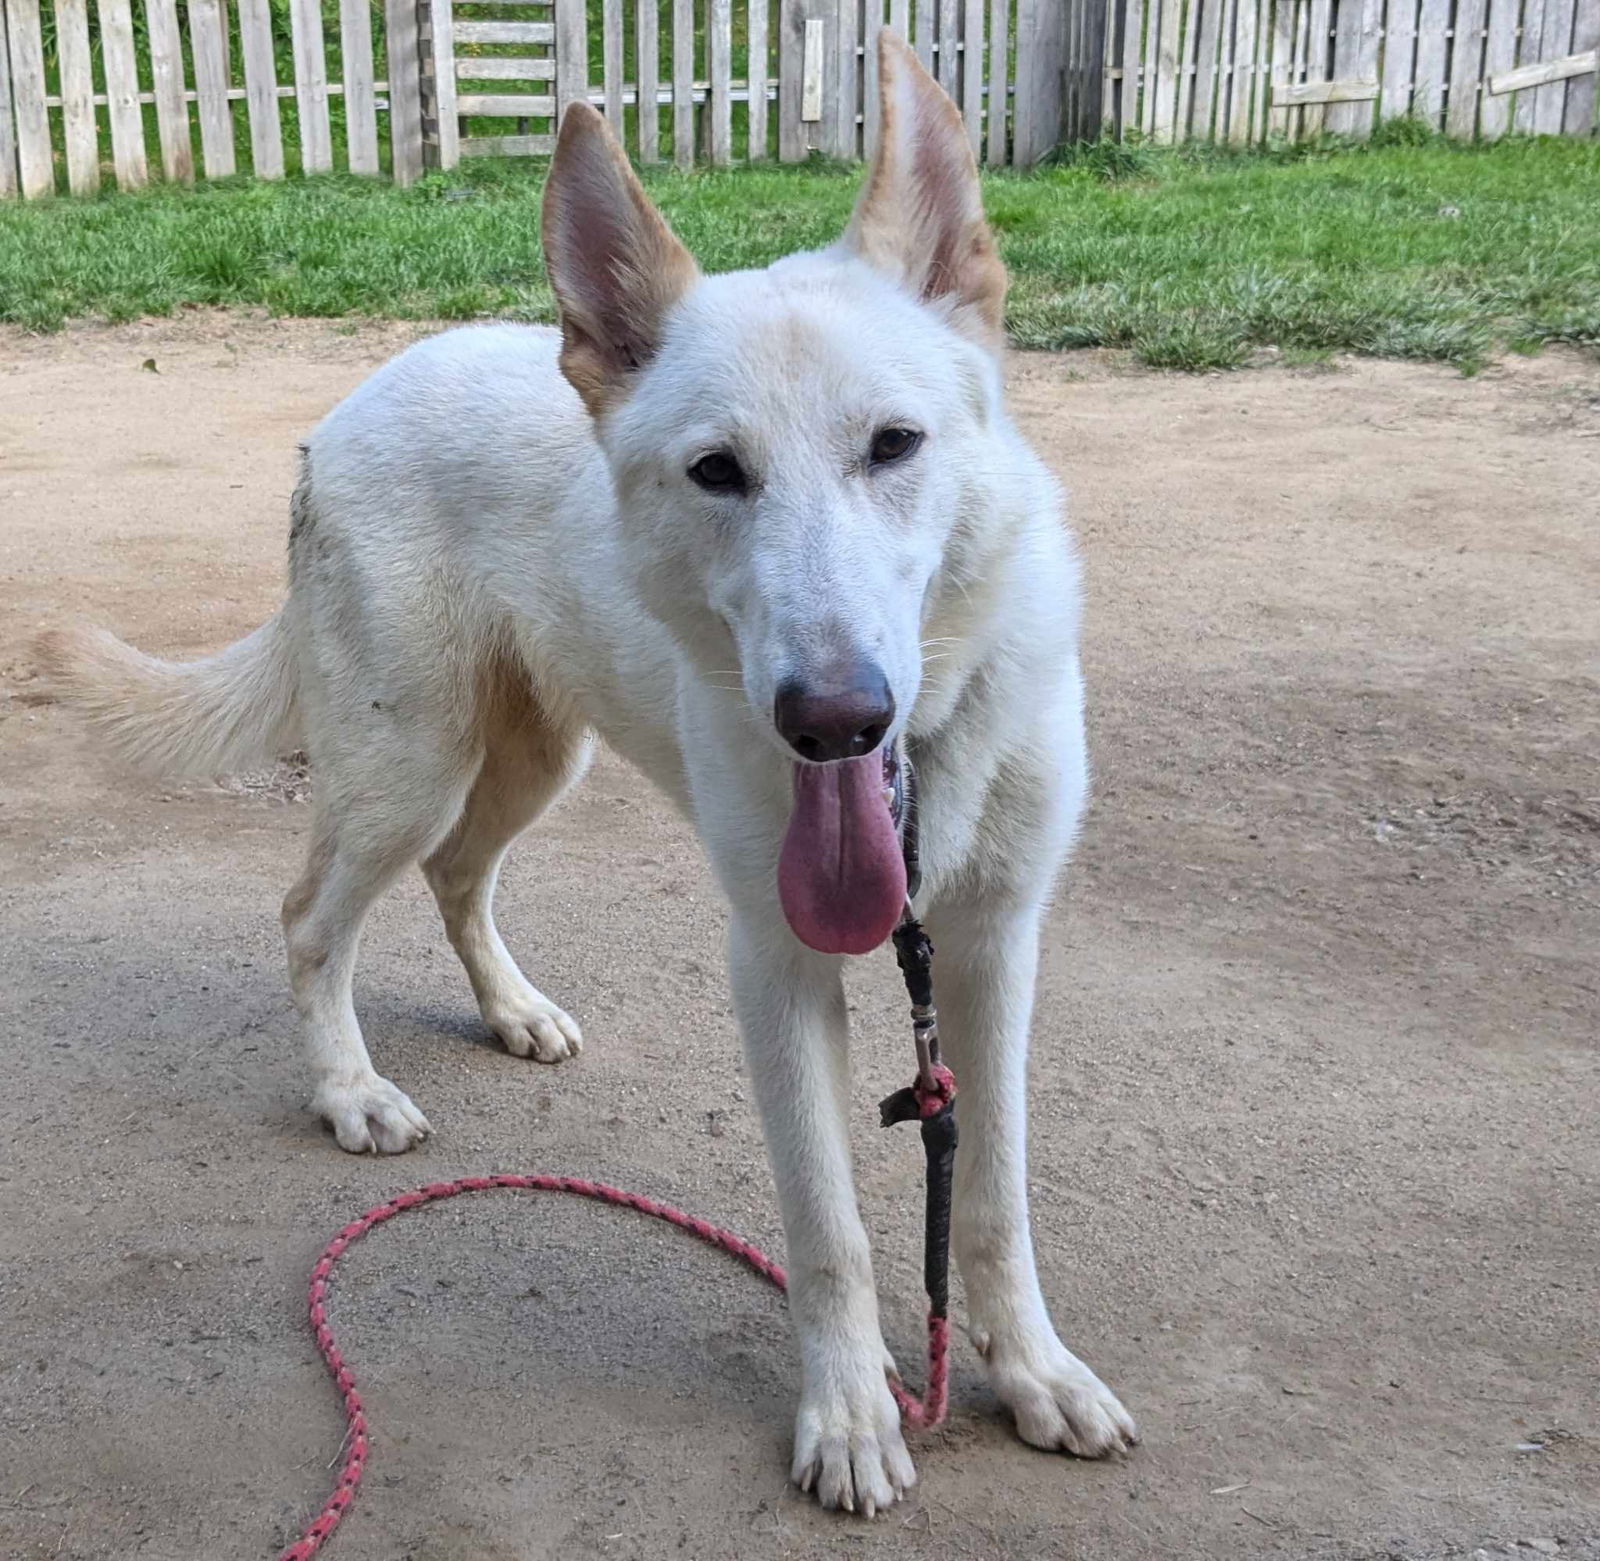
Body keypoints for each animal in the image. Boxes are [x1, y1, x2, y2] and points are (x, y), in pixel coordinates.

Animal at [46, 33, 1139, 1509]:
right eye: (717, 472)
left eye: (895, 446)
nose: (834, 720)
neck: (911, 766)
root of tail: (351, 405)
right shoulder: (775, 966)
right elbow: (832, 1228)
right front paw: (853, 1414)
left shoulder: (990, 945)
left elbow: (995, 1202)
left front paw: (1030, 1372)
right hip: (407, 765)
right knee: (310, 919)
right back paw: (349, 1090)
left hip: (532, 761)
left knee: (458, 879)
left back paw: (512, 1010)